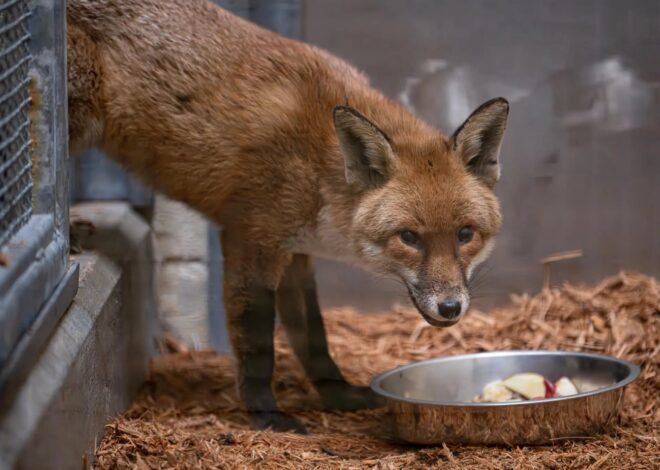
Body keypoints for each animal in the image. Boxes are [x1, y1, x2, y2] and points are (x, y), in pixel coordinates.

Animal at [66, 0, 508, 433]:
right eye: (409, 237)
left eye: (465, 234)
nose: (450, 308)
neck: (319, 170)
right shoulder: (252, 239)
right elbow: (258, 341)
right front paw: (266, 414)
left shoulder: (296, 253)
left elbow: (314, 337)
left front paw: (339, 395)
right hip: (79, 113)